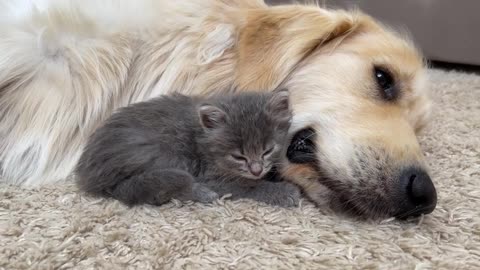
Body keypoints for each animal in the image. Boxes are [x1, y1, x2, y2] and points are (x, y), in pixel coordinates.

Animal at [75, 89, 300, 208]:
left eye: (267, 150)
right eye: (238, 156)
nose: (256, 170)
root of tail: (87, 173)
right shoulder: (208, 174)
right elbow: (246, 185)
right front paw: (282, 191)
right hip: (162, 152)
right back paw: (202, 193)